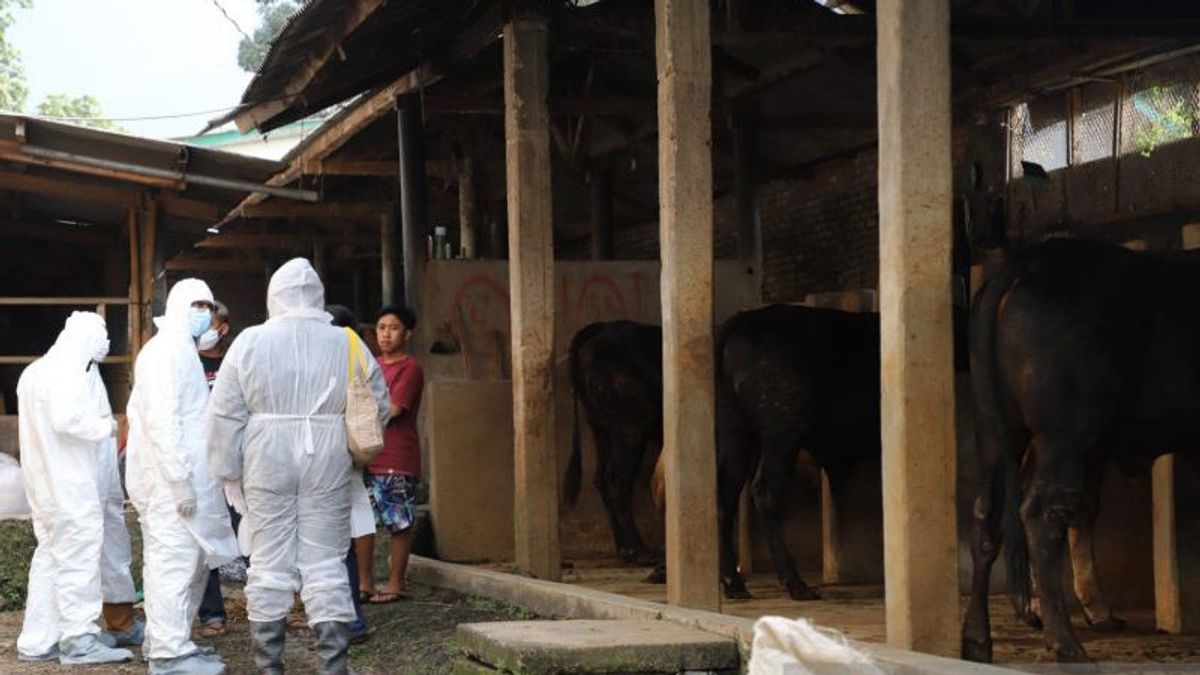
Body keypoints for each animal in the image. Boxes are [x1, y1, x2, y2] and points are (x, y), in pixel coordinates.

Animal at [564, 319, 667, 562]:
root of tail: (604, 327)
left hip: (600, 426)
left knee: (601, 478)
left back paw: (624, 548)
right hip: (630, 429)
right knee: (618, 481)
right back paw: (640, 549)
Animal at [960, 237, 1200, 662]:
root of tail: (1031, 259)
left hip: (996, 431)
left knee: (986, 515)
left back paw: (977, 641)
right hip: (1066, 435)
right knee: (1041, 514)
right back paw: (1068, 646)